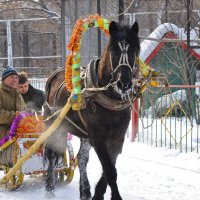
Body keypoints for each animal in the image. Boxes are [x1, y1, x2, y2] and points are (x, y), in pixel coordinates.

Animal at [43, 21, 141, 199]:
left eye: (135, 50)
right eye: (113, 50)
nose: (124, 83)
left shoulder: (117, 138)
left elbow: (109, 169)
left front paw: (97, 193)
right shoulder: (98, 137)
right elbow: (110, 170)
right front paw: (114, 196)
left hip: (82, 134)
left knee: (82, 159)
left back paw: (85, 191)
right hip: (55, 125)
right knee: (53, 154)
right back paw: (49, 188)